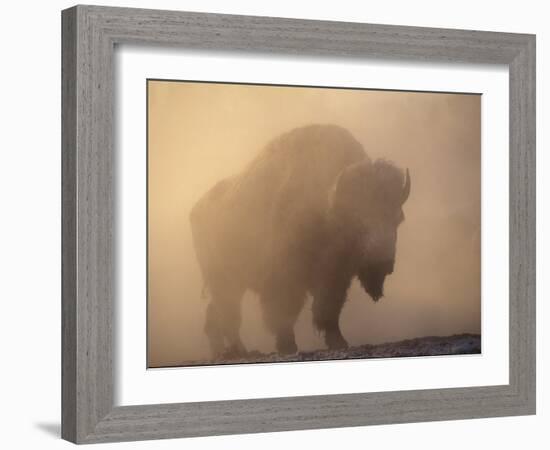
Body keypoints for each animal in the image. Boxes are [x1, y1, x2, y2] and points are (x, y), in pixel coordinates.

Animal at [190, 124, 410, 358]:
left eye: (398, 218)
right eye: (357, 220)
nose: (383, 263)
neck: (328, 206)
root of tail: (196, 210)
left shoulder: (334, 277)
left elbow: (328, 309)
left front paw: (339, 342)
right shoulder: (284, 278)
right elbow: (284, 314)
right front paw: (287, 346)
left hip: (231, 283)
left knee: (215, 316)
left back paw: (224, 352)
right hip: (224, 281)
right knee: (228, 316)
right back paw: (240, 351)